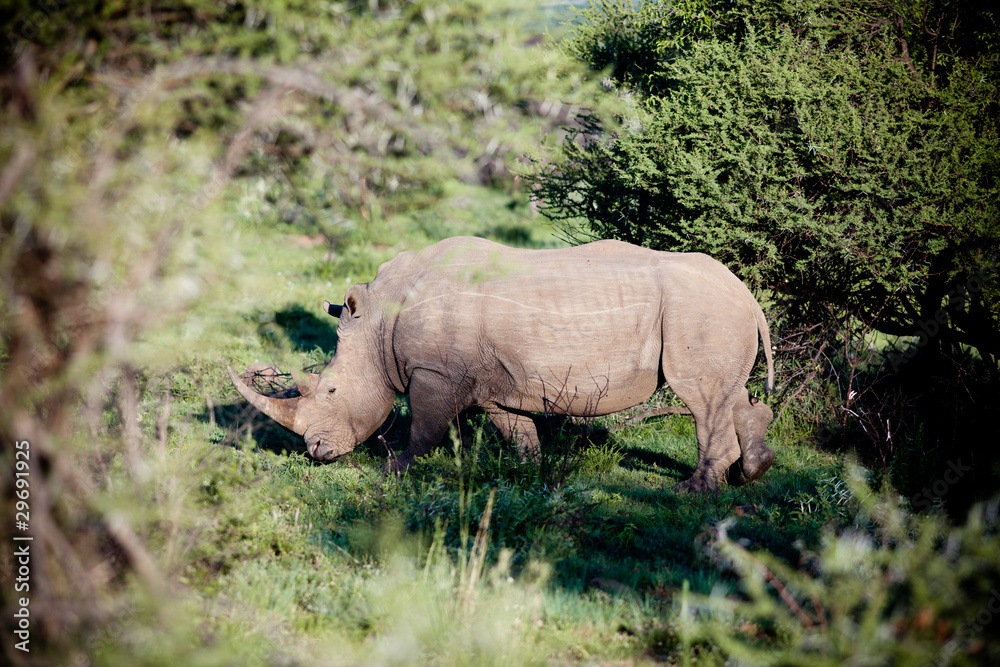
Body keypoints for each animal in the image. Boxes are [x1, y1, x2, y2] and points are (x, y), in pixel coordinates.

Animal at [229, 236, 775, 492]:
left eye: (332, 391)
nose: (317, 452)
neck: (380, 324)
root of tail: (747, 294)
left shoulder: (435, 372)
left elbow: (424, 428)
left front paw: (393, 470)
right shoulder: (494, 379)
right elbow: (517, 431)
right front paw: (528, 475)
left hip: (697, 310)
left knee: (700, 397)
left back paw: (692, 491)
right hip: (712, 310)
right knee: (728, 394)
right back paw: (751, 472)